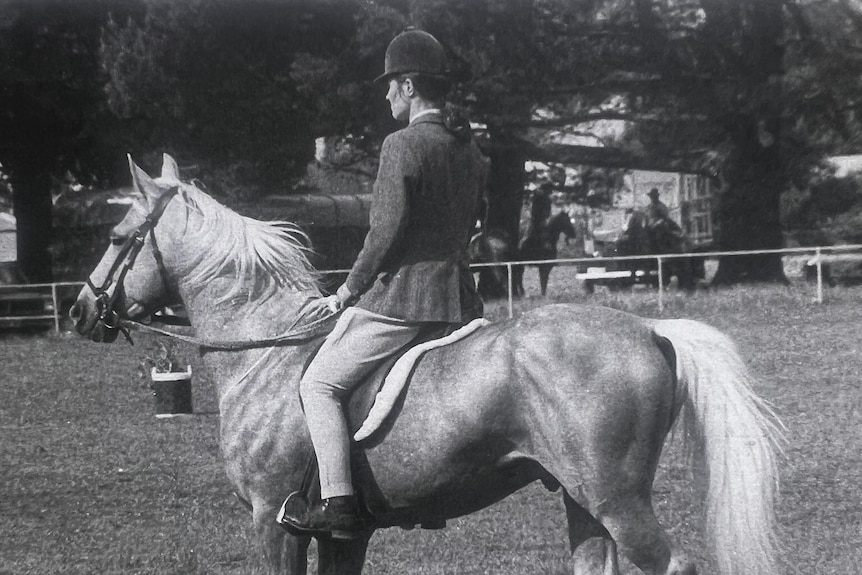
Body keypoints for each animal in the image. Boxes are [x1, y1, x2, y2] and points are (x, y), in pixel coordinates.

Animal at [71, 154, 784, 575]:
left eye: (115, 237)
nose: (80, 310)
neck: (267, 350)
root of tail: (652, 330)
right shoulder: (343, 536)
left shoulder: (275, 520)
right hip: (581, 498)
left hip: (617, 499)